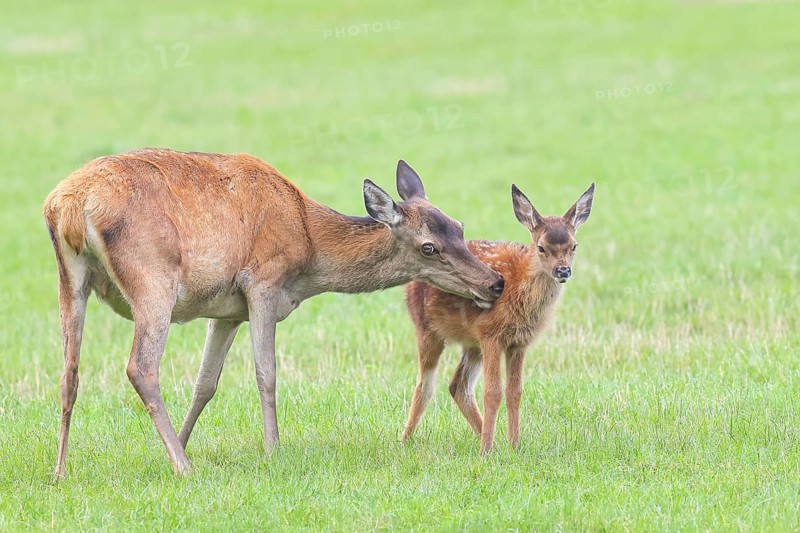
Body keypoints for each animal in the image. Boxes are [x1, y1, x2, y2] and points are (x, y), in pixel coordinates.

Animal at [43, 148, 505, 479]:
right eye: (429, 246)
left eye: (459, 226)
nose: (494, 283)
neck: (309, 250)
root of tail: (68, 206)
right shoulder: (262, 282)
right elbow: (266, 372)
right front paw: (272, 449)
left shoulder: (226, 309)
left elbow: (205, 384)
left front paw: (181, 444)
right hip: (153, 282)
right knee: (140, 367)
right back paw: (185, 469)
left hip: (70, 279)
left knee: (69, 373)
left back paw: (61, 471)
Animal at [400, 182, 595, 455]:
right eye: (541, 247)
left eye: (574, 246)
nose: (563, 270)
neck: (519, 288)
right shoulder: (491, 333)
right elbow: (493, 392)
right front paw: (486, 453)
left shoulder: (518, 343)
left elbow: (515, 391)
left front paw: (514, 445)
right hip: (428, 329)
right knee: (425, 385)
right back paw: (405, 440)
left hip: (472, 342)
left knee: (458, 385)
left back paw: (484, 434)